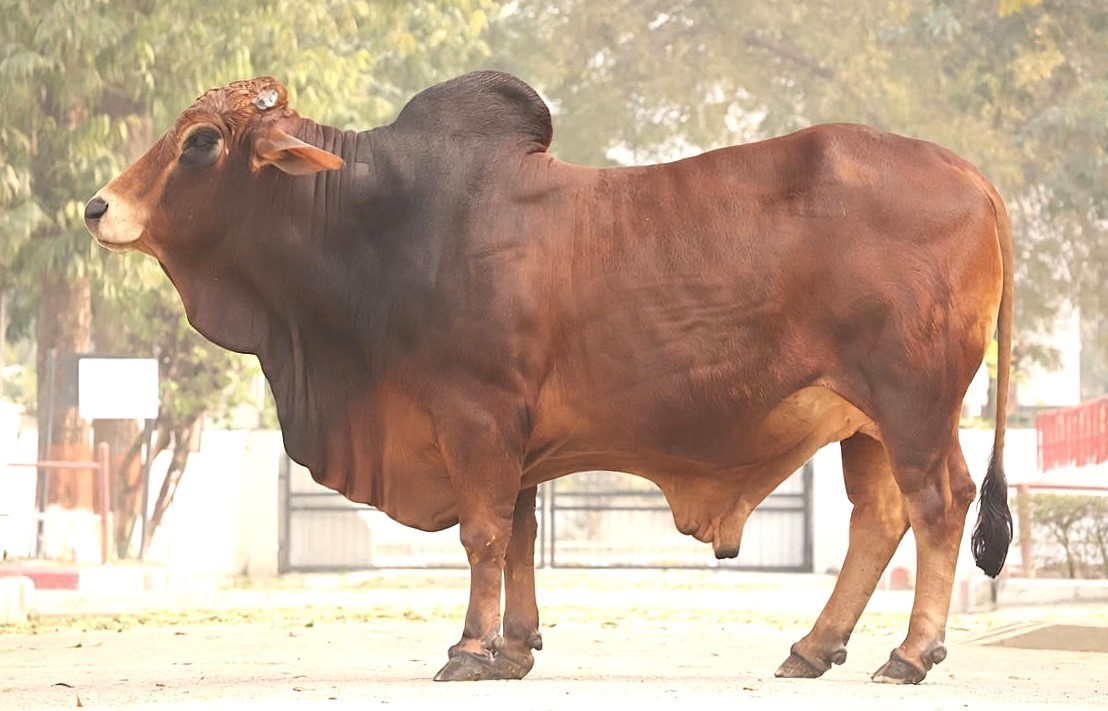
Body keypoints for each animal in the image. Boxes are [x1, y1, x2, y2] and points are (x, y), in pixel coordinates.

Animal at [84, 71, 1013, 684]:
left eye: (201, 142)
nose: (97, 207)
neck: (378, 221)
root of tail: (970, 174)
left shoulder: (476, 415)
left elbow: (482, 535)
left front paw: (468, 648)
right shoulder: (516, 438)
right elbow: (521, 533)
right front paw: (515, 646)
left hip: (914, 402)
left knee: (938, 506)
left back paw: (909, 652)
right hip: (865, 420)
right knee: (878, 518)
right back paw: (814, 647)